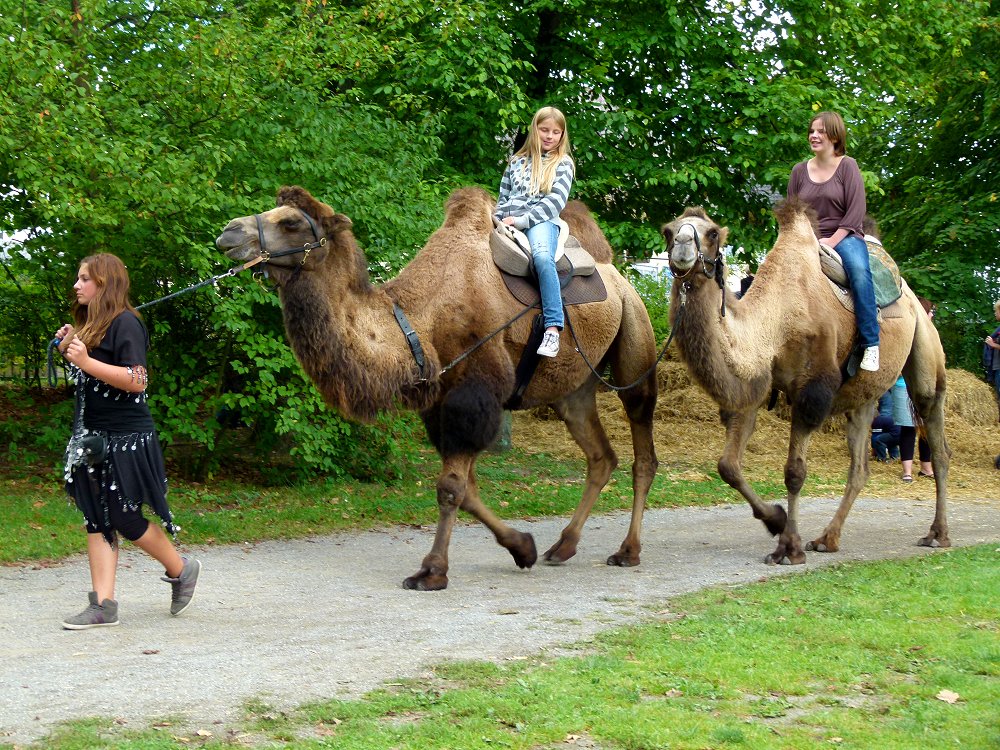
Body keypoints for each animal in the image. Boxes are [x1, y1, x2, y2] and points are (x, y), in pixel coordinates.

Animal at [215, 185, 660, 592]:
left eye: (290, 222)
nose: (228, 232)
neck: (417, 325)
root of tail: (616, 275)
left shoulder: (474, 397)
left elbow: (450, 488)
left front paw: (431, 572)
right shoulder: (441, 406)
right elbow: (466, 490)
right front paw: (523, 547)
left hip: (636, 339)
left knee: (642, 448)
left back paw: (628, 551)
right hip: (575, 388)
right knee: (600, 456)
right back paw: (562, 546)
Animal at [660, 198, 948, 564]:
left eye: (711, 233)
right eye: (667, 230)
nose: (682, 247)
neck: (776, 322)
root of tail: (910, 293)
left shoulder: (813, 390)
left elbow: (794, 472)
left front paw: (789, 547)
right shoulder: (757, 384)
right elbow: (728, 465)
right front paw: (776, 520)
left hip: (924, 345)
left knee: (937, 439)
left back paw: (937, 534)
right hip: (864, 394)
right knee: (860, 466)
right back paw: (827, 538)